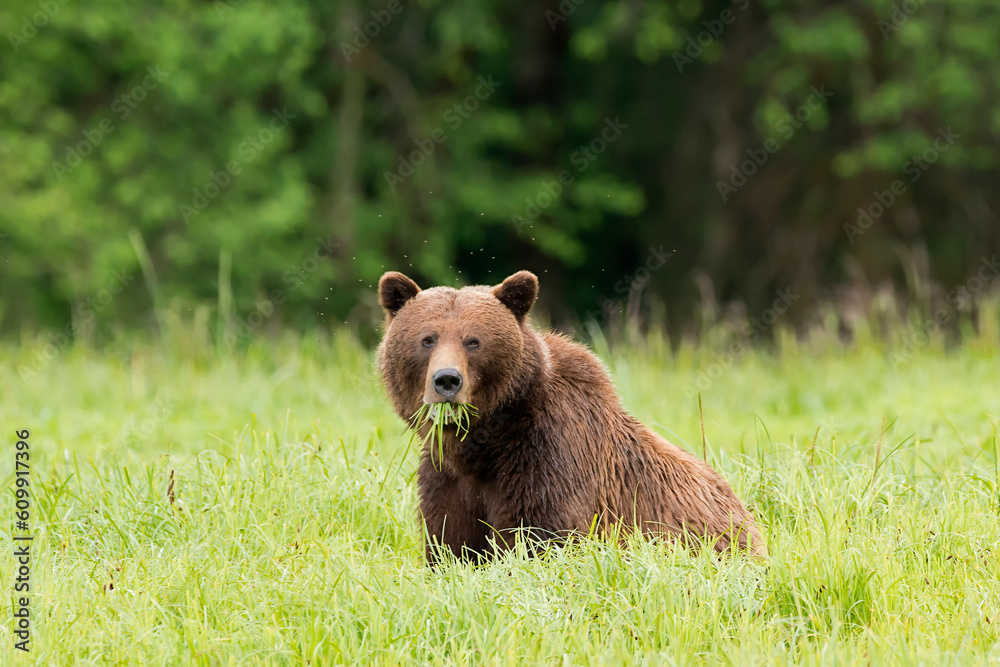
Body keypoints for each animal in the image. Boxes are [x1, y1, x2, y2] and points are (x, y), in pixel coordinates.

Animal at [376, 270, 764, 564]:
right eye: (428, 339)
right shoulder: (447, 477)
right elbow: (449, 542)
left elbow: (541, 536)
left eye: (473, 341)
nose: (446, 380)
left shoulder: (550, 456)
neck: (487, 440)